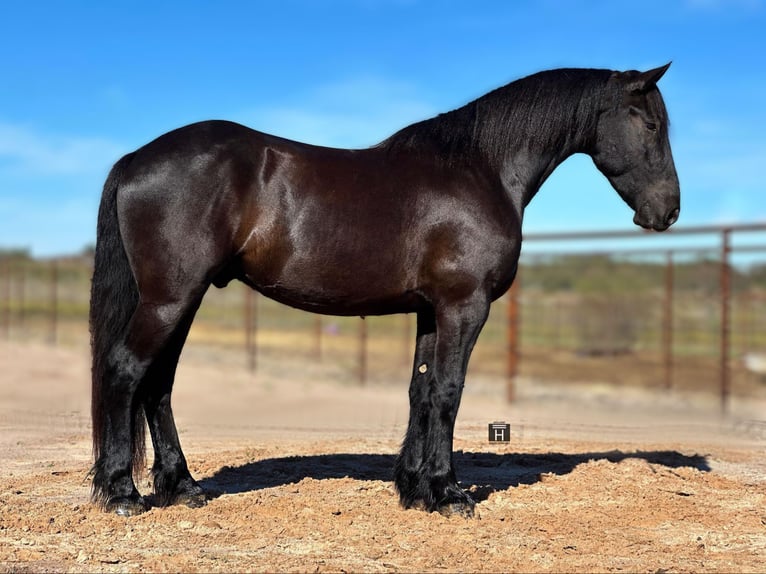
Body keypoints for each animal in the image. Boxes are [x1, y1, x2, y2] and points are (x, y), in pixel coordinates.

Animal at [91, 65, 684, 520]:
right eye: (652, 123)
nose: (668, 211)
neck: (480, 169)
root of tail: (135, 160)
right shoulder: (464, 307)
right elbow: (448, 392)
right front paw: (448, 494)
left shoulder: (431, 311)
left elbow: (421, 391)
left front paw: (415, 488)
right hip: (170, 298)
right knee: (126, 370)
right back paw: (123, 493)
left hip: (181, 300)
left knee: (158, 384)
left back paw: (182, 487)